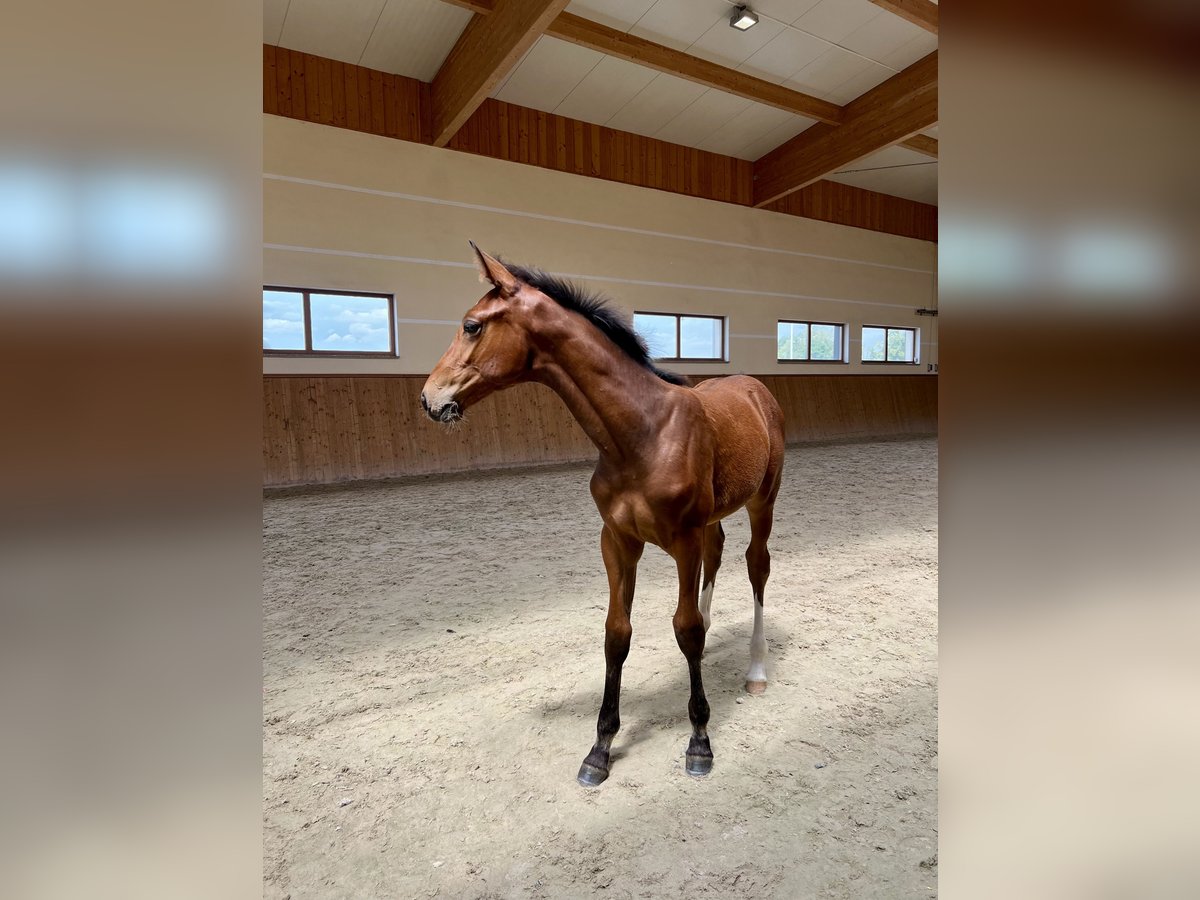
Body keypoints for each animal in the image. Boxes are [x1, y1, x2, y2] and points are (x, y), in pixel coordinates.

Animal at [424, 247, 787, 787]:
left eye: (472, 325)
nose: (429, 398)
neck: (643, 433)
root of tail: (755, 389)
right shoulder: (617, 541)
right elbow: (618, 634)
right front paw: (600, 748)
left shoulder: (682, 541)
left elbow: (684, 629)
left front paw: (699, 741)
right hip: (711, 520)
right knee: (718, 558)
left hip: (763, 501)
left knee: (756, 567)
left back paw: (756, 671)